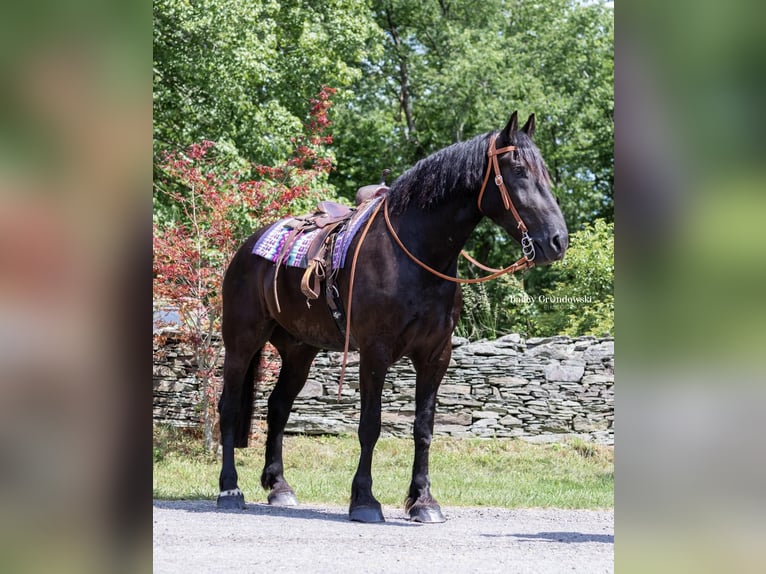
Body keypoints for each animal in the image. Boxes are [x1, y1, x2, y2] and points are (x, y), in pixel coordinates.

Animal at [216, 110, 568, 524]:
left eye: (544, 172)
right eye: (518, 170)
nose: (557, 241)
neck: (416, 254)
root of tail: (248, 247)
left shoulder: (436, 356)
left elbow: (424, 428)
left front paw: (423, 501)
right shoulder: (375, 352)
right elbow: (370, 425)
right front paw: (365, 500)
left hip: (299, 350)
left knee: (278, 408)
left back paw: (280, 487)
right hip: (242, 341)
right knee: (228, 407)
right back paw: (229, 489)